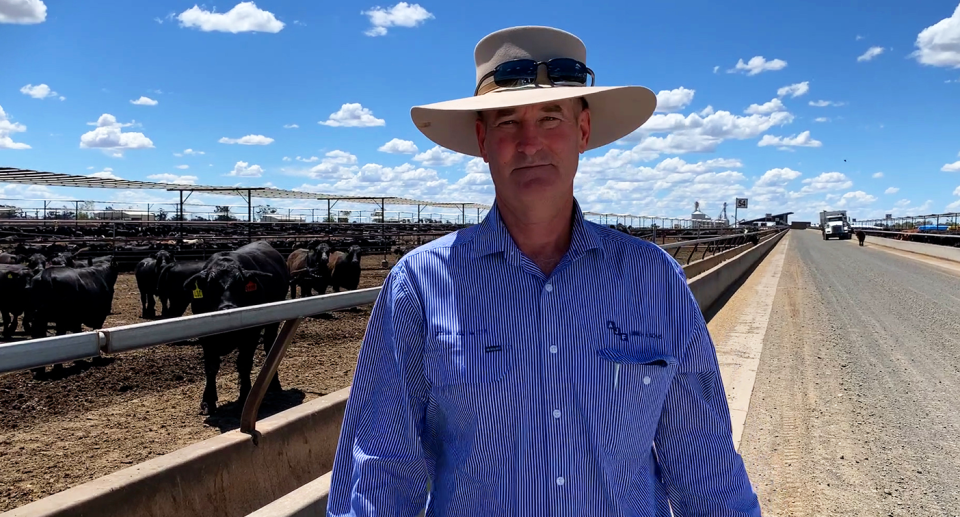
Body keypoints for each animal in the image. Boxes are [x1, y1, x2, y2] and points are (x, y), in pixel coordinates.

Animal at [182, 240, 290, 414]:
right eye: (211, 287)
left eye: (241, 286)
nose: (228, 308)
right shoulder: (206, 339)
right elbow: (211, 366)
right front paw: (208, 401)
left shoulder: (251, 335)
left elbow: (244, 364)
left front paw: (245, 395)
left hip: (272, 324)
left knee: (270, 347)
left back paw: (274, 385)